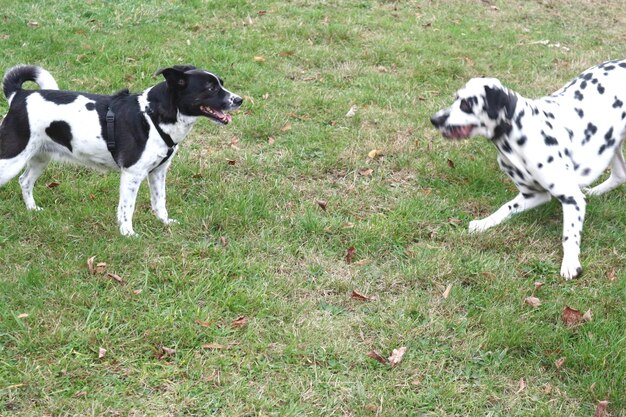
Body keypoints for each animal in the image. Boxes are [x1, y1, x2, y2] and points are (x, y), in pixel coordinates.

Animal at [0, 63, 241, 236]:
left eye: (221, 83)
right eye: (210, 88)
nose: (239, 99)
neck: (152, 115)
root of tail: (19, 95)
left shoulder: (158, 171)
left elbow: (159, 201)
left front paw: (164, 223)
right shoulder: (132, 174)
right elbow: (127, 208)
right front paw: (128, 233)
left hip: (40, 157)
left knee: (25, 181)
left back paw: (32, 209)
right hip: (11, 158)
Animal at [428, 58, 624, 278]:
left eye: (466, 104)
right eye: (456, 98)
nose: (434, 119)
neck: (519, 130)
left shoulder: (571, 198)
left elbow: (569, 235)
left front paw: (570, 262)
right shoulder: (533, 195)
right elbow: (505, 208)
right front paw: (484, 223)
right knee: (620, 175)